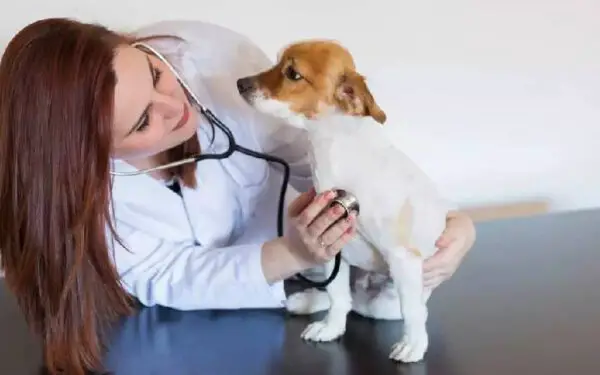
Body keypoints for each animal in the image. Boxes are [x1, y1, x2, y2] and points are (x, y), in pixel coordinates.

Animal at [237, 39, 452, 362]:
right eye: (276, 64)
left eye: (293, 74)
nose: (240, 83)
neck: (332, 153)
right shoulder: (329, 246)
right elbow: (337, 296)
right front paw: (331, 328)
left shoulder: (402, 258)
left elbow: (412, 312)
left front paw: (413, 344)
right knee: (345, 297)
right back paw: (309, 300)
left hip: (387, 298)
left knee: (372, 305)